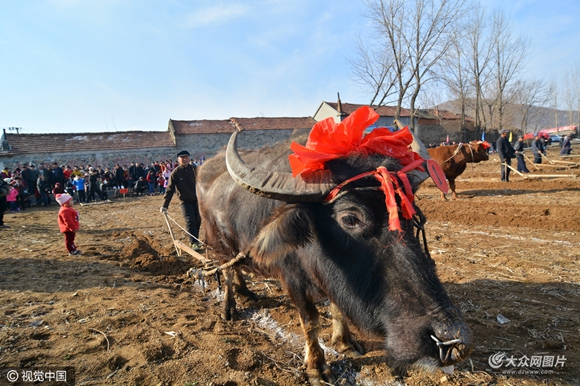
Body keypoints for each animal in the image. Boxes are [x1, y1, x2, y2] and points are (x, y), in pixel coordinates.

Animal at [197, 126, 474, 382]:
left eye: (409, 212)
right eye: (350, 219)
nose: (451, 339)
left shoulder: (334, 277)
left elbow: (338, 307)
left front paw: (345, 343)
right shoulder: (292, 278)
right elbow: (310, 321)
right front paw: (317, 367)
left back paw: (246, 291)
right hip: (218, 243)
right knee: (227, 271)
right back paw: (229, 308)